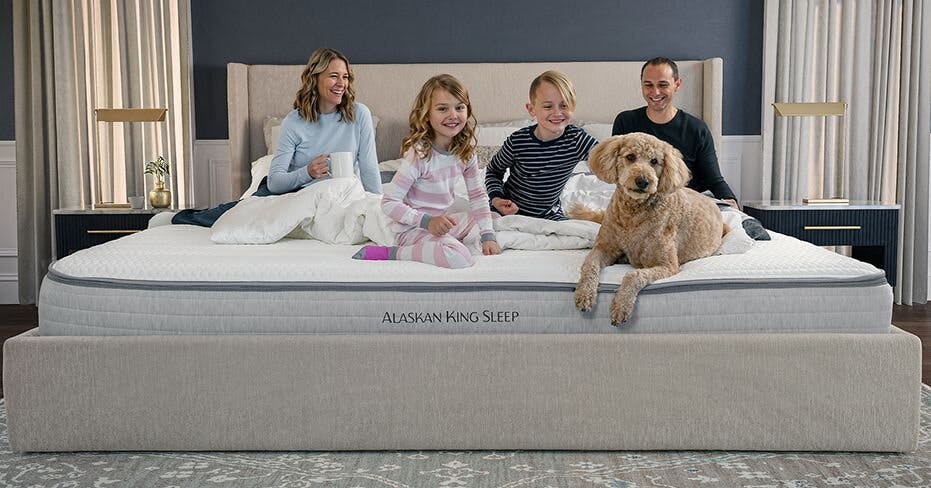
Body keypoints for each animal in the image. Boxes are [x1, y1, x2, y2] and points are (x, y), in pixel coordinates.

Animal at [576, 132, 728, 326]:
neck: (632, 215)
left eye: (654, 161)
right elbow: (589, 265)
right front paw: (584, 294)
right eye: (630, 157)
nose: (643, 181)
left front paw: (621, 305)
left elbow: (633, 276)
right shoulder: (604, 248)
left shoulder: (668, 266)